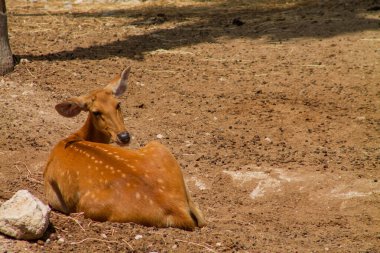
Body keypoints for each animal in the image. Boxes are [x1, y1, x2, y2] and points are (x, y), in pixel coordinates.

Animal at [43, 66, 205, 229]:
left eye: (118, 104)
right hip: (159, 148)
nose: (124, 136)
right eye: (96, 112)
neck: (72, 138)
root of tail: (178, 211)